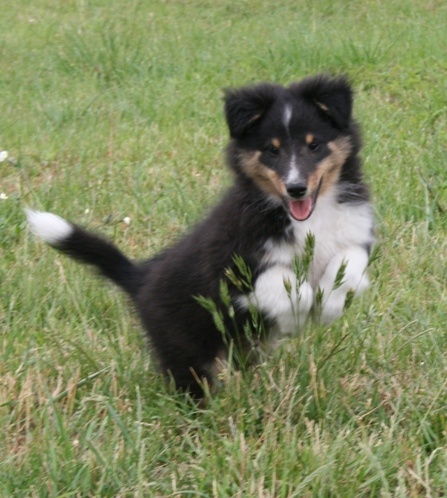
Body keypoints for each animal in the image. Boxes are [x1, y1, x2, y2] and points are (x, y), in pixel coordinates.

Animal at [26, 74, 374, 399]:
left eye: (314, 145)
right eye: (271, 150)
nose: (296, 188)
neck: (310, 217)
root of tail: (141, 279)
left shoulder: (356, 232)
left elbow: (347, 265)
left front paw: (329, 306)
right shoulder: (233, 267)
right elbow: (290, 287)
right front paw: (295, 319)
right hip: (186, 350)